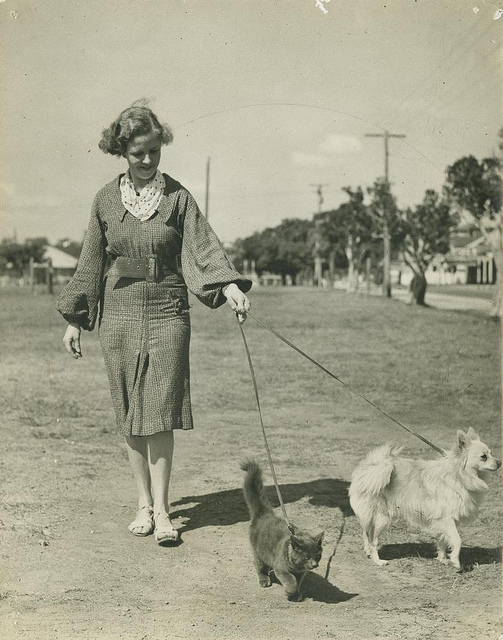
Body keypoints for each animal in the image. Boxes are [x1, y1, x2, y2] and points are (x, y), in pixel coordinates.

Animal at [241, 460, 326, 600]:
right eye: (307, 557)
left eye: (317, 555)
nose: (314, 565)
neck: (297, 566)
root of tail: (264, 513)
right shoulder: (281, 568)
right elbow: (291, 580)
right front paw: (290, 592)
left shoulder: (302, 572)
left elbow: (298, 581)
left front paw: (296, 594)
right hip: (258, 551)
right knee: (259, 566)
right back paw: (264, 579)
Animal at [350, 430, 500, 568]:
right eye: (483, 457)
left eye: (491, 453)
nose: (499, 462)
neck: (458, 475)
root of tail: (370, 465)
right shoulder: (446, 518)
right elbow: (457, 540)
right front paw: (455, 561)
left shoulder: (443, 521)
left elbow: (443, 540)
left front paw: (442, 559)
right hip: (381, 518)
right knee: (373, 539)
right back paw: (377, 560)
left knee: (365, 532)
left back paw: (368, 552)